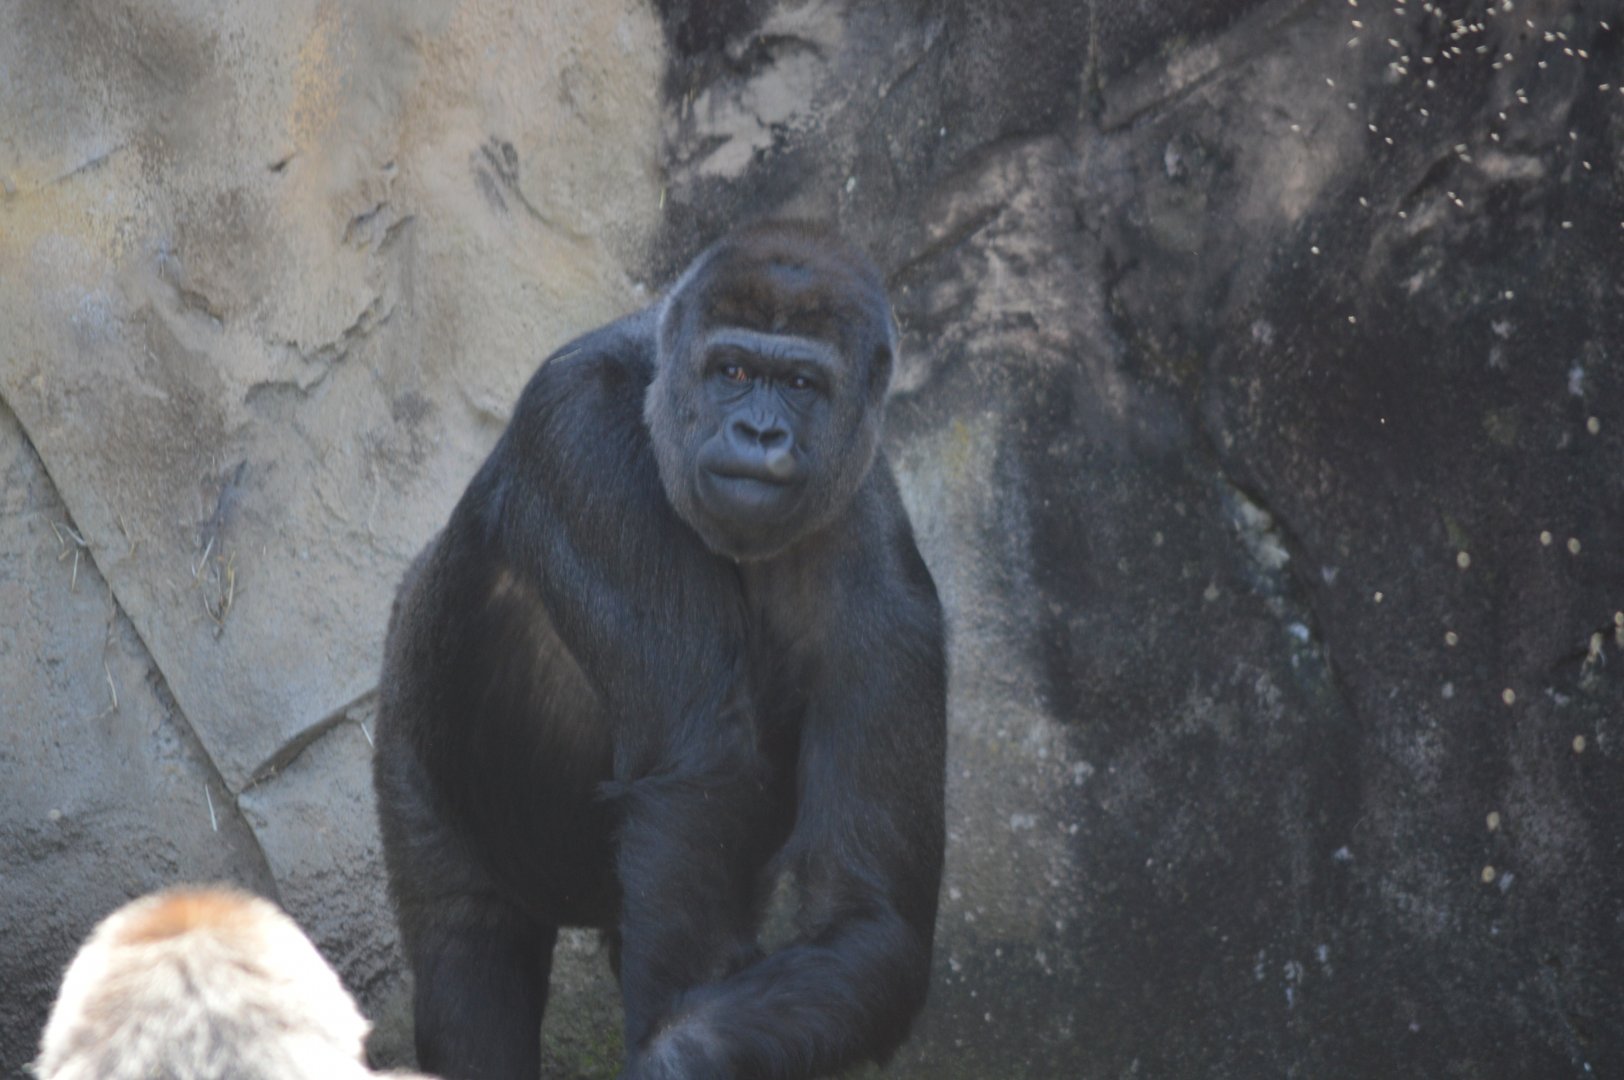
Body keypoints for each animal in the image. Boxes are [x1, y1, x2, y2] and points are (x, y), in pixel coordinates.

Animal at [373, 220, 947, 1079]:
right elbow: (698, 771)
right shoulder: (580, 427)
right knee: (466, 955)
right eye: (733, 371)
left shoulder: (884, 570)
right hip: (410, 714)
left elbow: (870, 916)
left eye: (802, 384)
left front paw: (681, 1051)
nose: (759, 433)